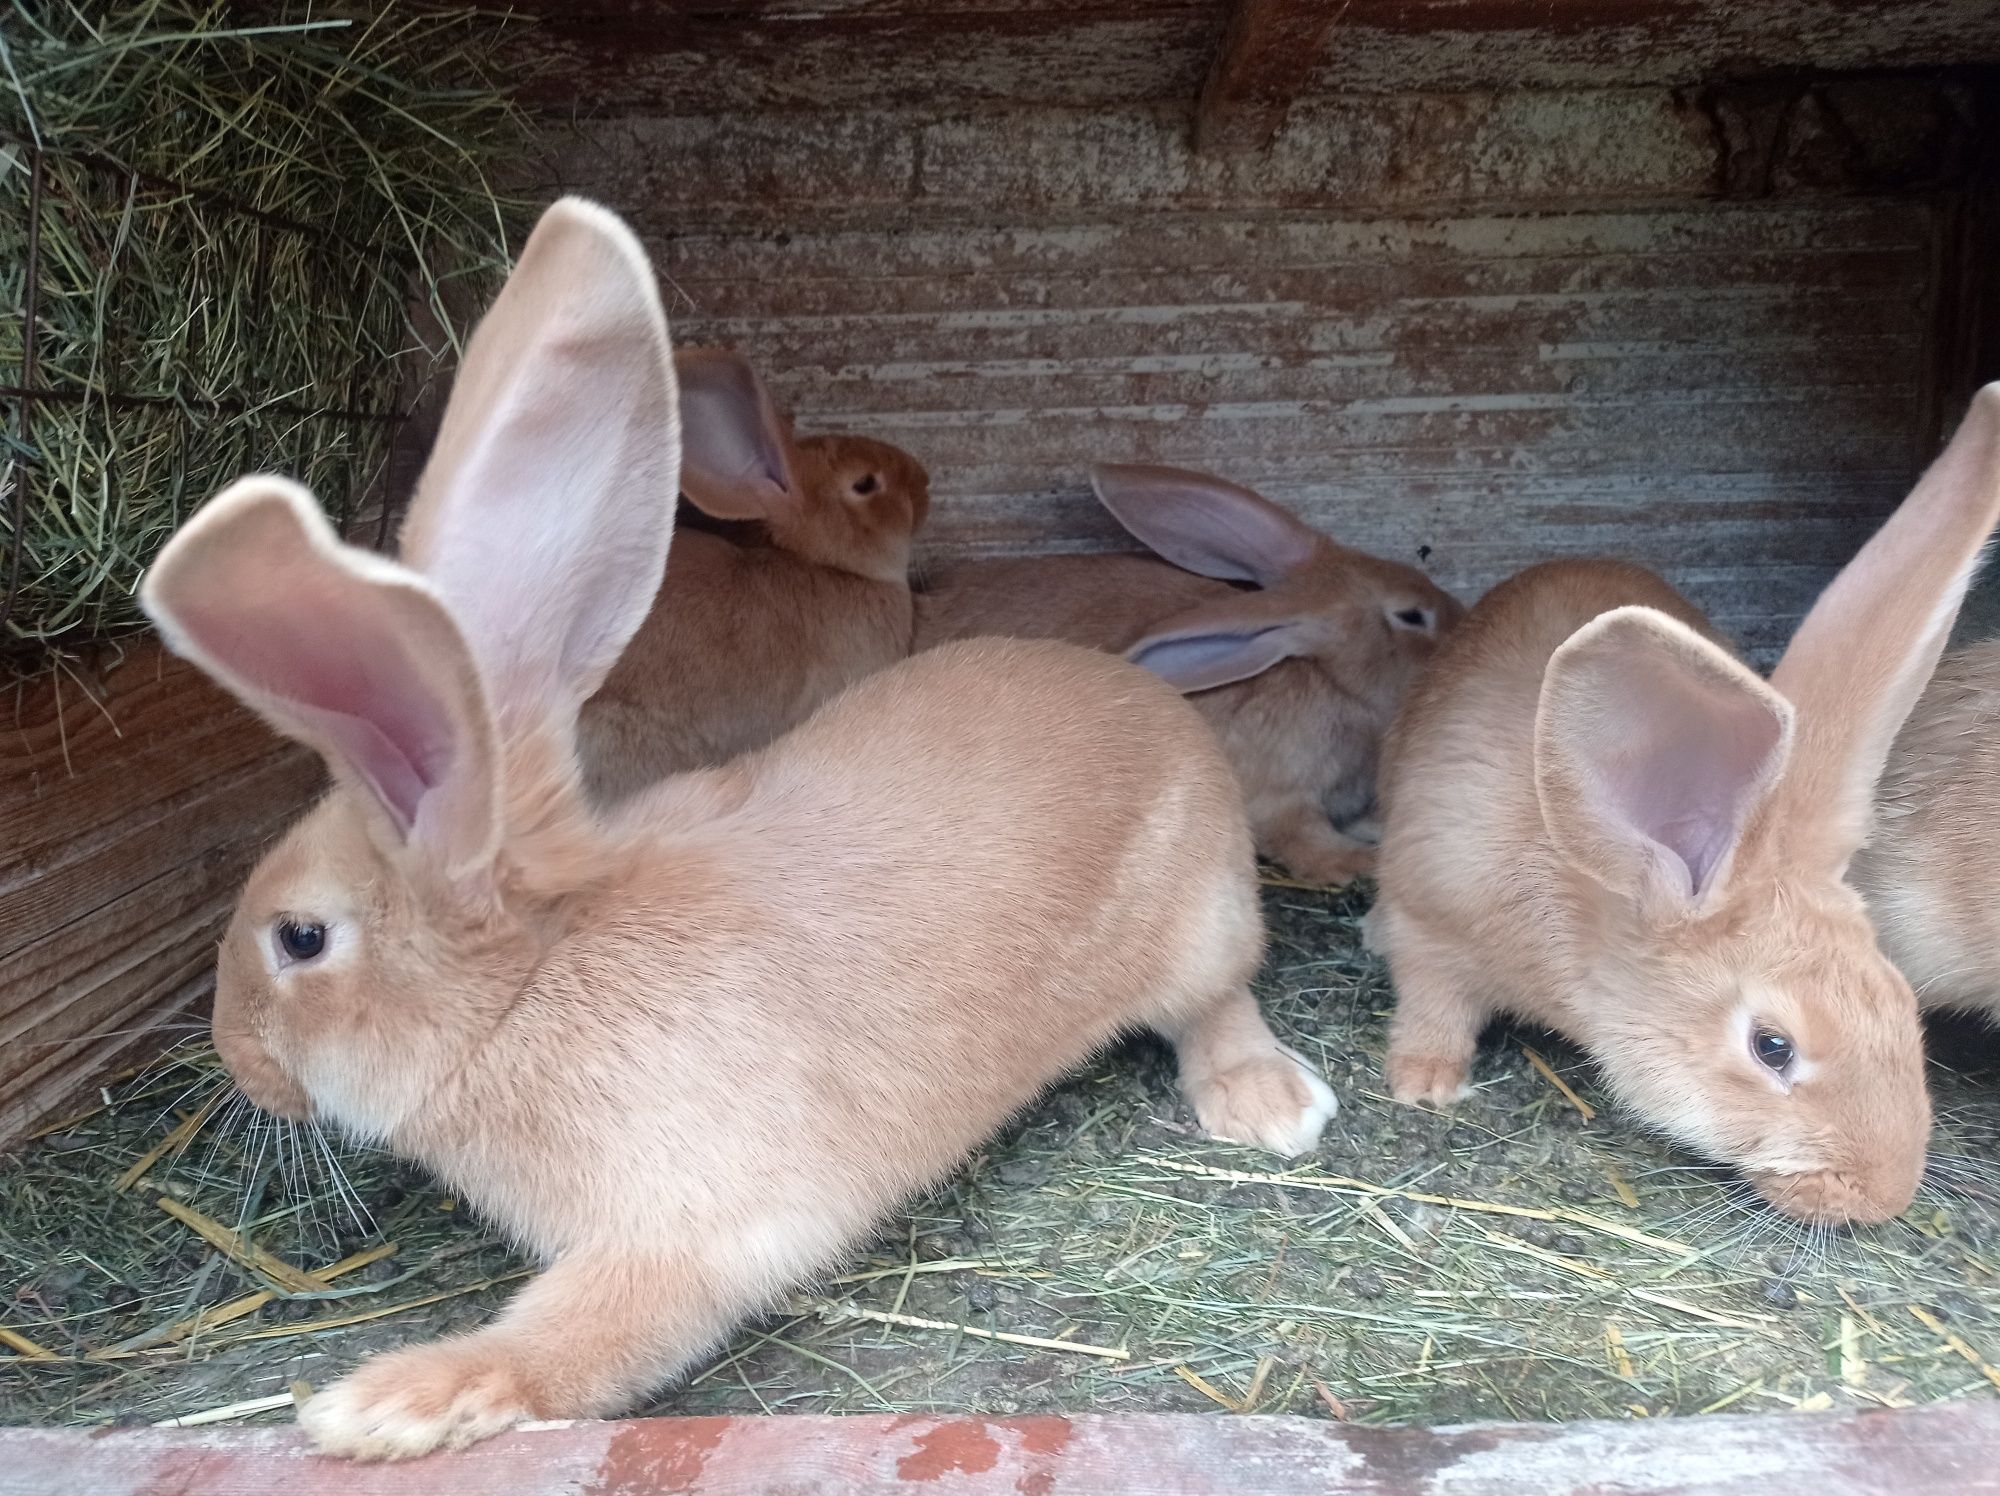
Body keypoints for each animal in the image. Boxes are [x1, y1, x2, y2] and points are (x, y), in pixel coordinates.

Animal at [916, 464, 1464, 888]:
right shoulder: (1281, 799)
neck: (1328, 679)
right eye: (1411, 616)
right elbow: (1303, 839)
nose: (1463, 623)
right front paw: (1357, 862)